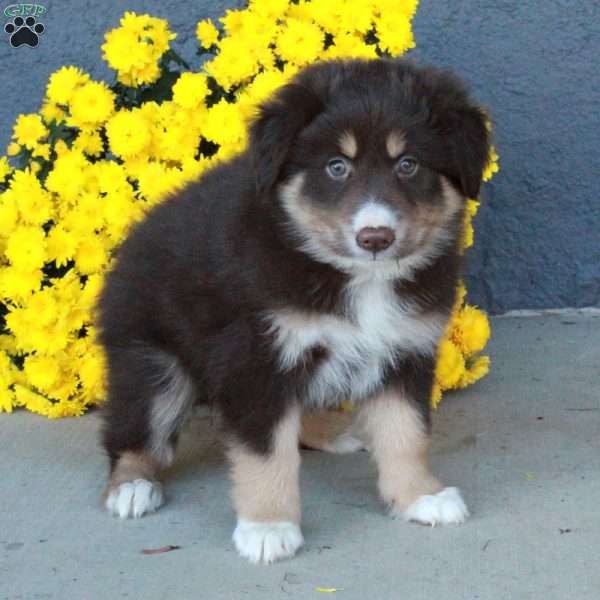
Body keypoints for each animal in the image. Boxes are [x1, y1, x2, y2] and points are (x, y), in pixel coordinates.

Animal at [98, 58, 490, 564]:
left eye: (409, 165)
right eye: (336, 167)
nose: (376, 238)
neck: (354, 277)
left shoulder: (405, 351)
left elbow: (407, 433)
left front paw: (421, 496)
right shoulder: (255, 359)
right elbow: (268, 455)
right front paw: (267, 527)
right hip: (151, 364)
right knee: (135, 428)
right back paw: (131, 486)